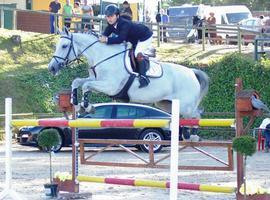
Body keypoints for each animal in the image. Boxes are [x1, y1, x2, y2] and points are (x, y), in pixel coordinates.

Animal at [48, 29, 209, 117]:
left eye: (64, 46)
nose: (52, 68)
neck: (102, 56)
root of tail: (192, 72)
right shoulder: (96, 80)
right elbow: (77, 82)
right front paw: (76, 104)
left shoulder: (110, 86)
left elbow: (86, 86)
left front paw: (87, 107)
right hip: (166, 104)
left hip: (186, 107)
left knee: (196, 115)